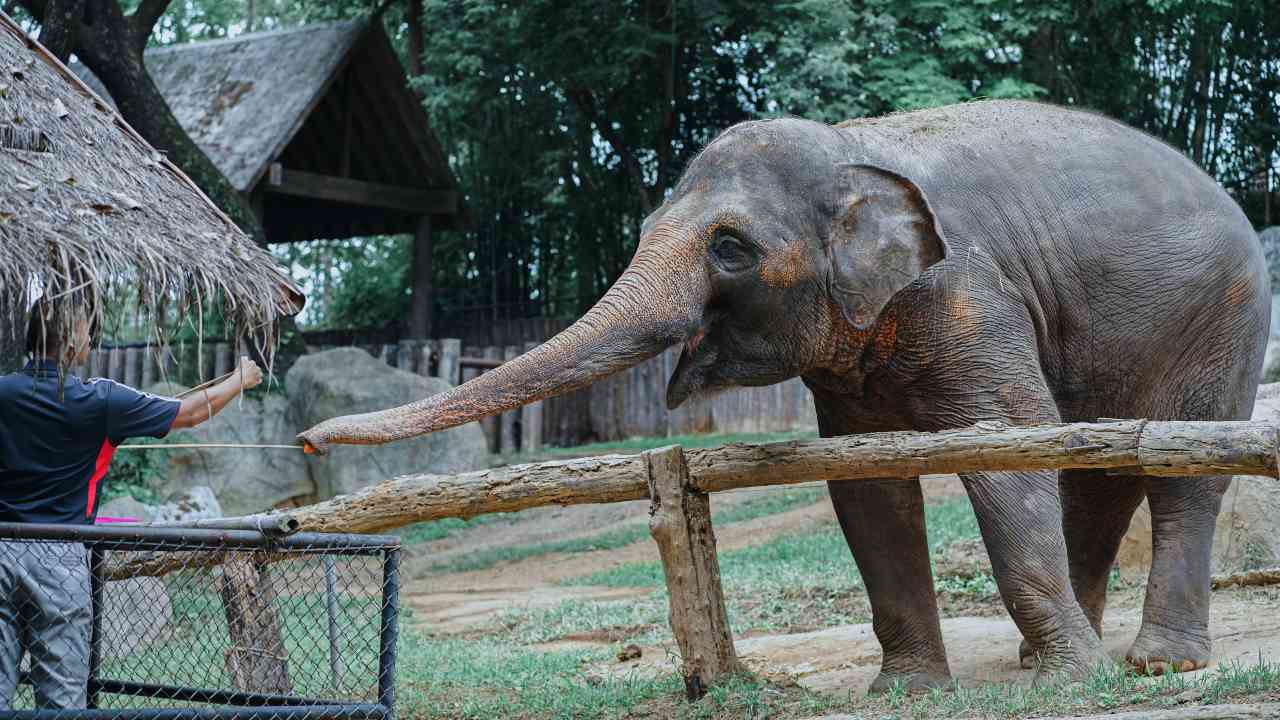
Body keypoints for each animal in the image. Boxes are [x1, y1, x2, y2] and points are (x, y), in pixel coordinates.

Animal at [300, 100, 1269, 690]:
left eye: (729, 248)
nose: (308, 441)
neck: (853, 150)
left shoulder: (966, 289)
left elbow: (1002, 445)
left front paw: (1076, 685)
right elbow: (865, 488)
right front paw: (908, 692)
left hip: (1224, 322)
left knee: (1180, 473)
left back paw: (1151, 667)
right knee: (1097, 476)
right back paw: (1048, 660)